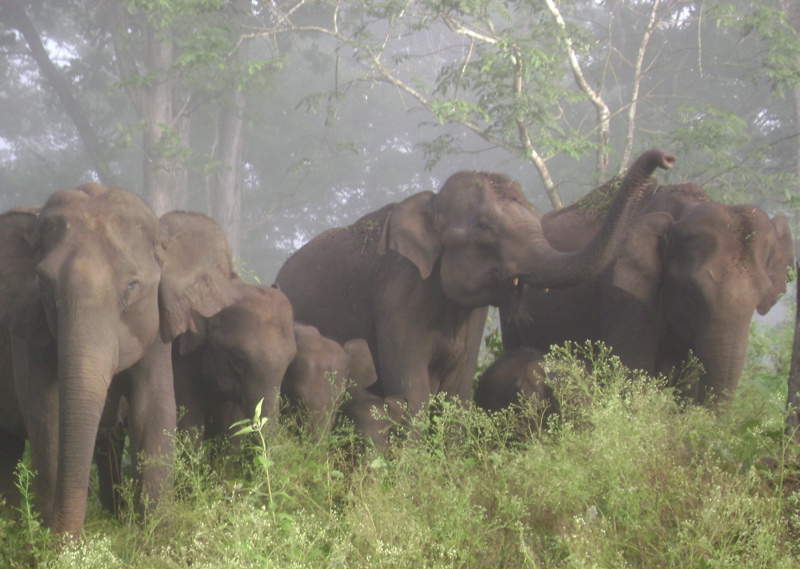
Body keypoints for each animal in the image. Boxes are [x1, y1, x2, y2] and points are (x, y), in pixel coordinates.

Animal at [0, 187, 238, 534]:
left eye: (132, 286)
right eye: (43, 282)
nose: (70, 538)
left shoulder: (156, 332)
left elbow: (154, 410)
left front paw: (157, 538)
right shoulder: (29, 329)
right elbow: (45, 414)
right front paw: (46, 542)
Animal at [275, 150, 676, 427]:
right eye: (485, 228)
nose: (667, 158)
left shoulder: (471, 317)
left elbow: (458, 392)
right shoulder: (397, 300)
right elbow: (413, 391)